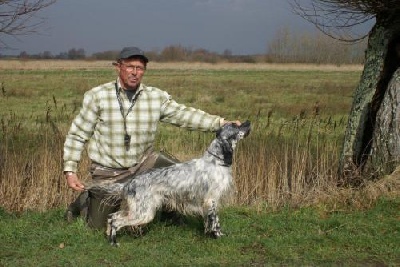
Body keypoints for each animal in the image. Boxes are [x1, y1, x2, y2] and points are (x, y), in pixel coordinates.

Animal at [85, 121, 250, 247]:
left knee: (112, 217)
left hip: (135, 209)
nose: (248, 122)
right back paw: (113, 243)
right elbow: (215, 221)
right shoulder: (211, 200)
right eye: (236, 126)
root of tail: (129, 183)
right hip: (143, 212)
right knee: (116, 221)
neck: (216, 161)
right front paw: (217, 235)